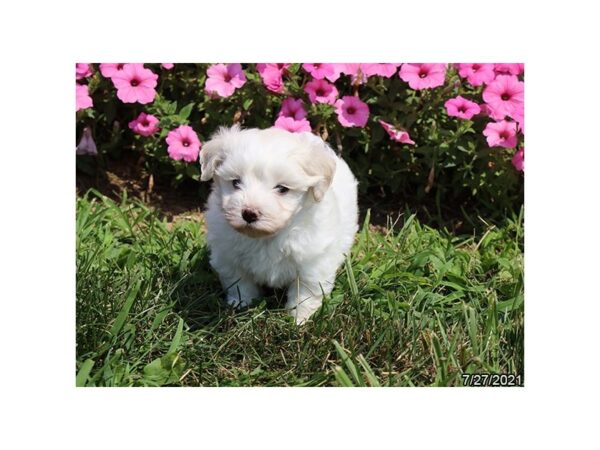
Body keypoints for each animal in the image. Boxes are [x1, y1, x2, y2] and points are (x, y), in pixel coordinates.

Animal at [202, 125, 358, 324]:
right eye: (235, 182)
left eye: (282, 189)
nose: (249, 213)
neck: (266, 237)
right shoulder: (229, 257)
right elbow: (240, 283)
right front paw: (241, 304)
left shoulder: (312, 264)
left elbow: (305, 293)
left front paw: (299, 320)